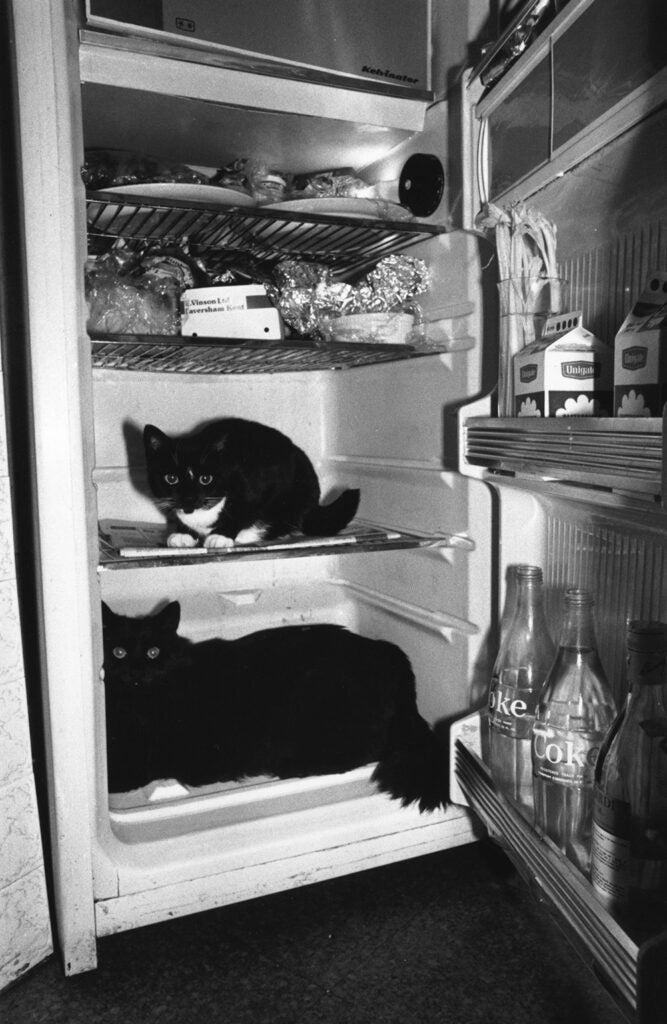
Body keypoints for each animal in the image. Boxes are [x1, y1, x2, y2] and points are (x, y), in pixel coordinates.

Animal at [101, 598, 448, 815]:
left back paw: (293, 766)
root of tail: (391, 657)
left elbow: (126, 772)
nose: (135, 672)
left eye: (153, 653)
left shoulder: (163, 755)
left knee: (365, 750)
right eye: (118, 652)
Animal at [141, 417, 360, 548]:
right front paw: (182, 533)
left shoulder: (263, 486)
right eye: (171, 478)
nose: (189, 499)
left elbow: (244, 512)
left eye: (205, 479)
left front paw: (221, 536)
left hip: (299, 492)